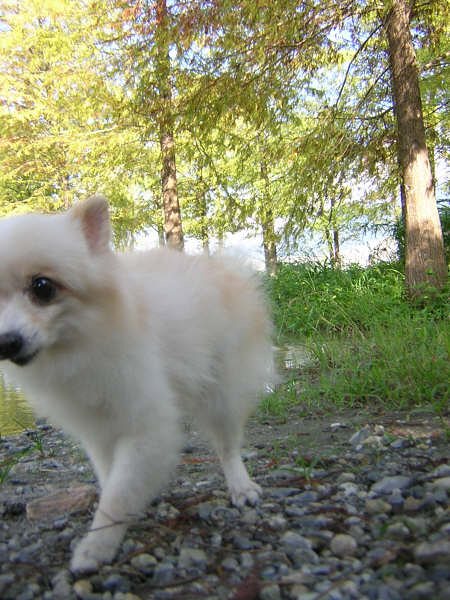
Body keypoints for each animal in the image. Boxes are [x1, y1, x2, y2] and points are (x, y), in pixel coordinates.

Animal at [0, 196, 273, 572]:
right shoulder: (97, 428)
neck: (82, 346)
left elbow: (120, 492)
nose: (5, 342)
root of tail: (224, 268)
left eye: (43, 288)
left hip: (222, 394)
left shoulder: (146, 424)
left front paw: (97, 546)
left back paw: (241, 486)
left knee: (227, 445)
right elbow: (112, 478)